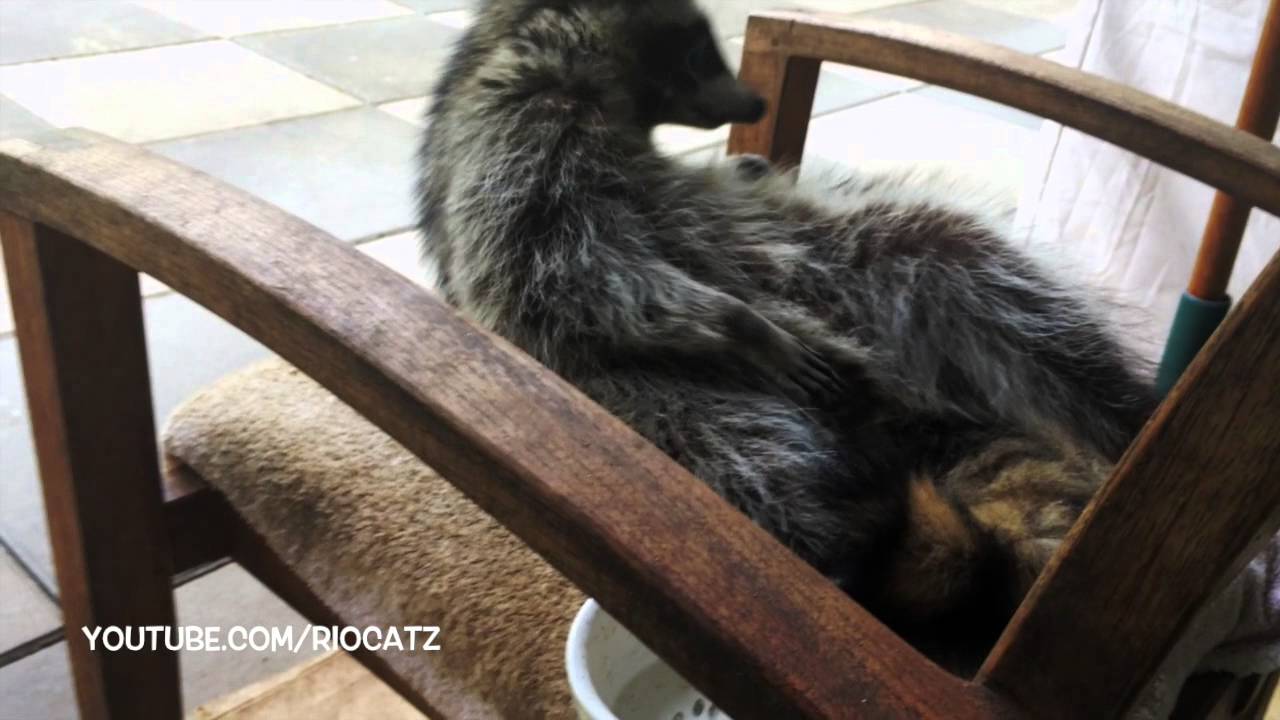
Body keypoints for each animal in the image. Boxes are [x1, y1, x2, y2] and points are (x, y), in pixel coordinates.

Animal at [416, 0, 1156, 672]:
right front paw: (738, 324)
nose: (754, 101)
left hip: (883, 270)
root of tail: (906, 437)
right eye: (699, 52)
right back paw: (844, 565)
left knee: (971, 266)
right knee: (757, 472)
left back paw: (1123, 411)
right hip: (670, 407)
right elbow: (570, 279)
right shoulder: (510, 153)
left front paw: (751, 177)